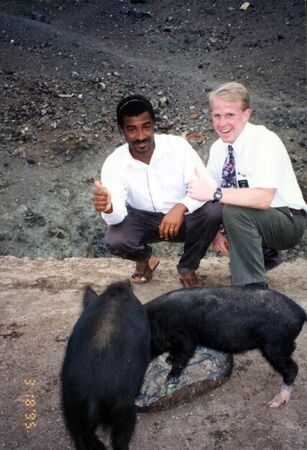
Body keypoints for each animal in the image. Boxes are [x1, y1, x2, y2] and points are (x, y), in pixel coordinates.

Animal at [61, 280, 150, 448]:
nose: (128, 281)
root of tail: (93, 396)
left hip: (71, 408)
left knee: (80, 439)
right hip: (124, 408)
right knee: (120, 439)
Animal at [146, 286, 306, 410]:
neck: (155, 324)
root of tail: (301, 312)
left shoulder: (185, 338)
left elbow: (183, 357)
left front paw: (169, 379)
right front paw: (168, 360)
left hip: (274, 344)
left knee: (293, 368)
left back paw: (274, 402)